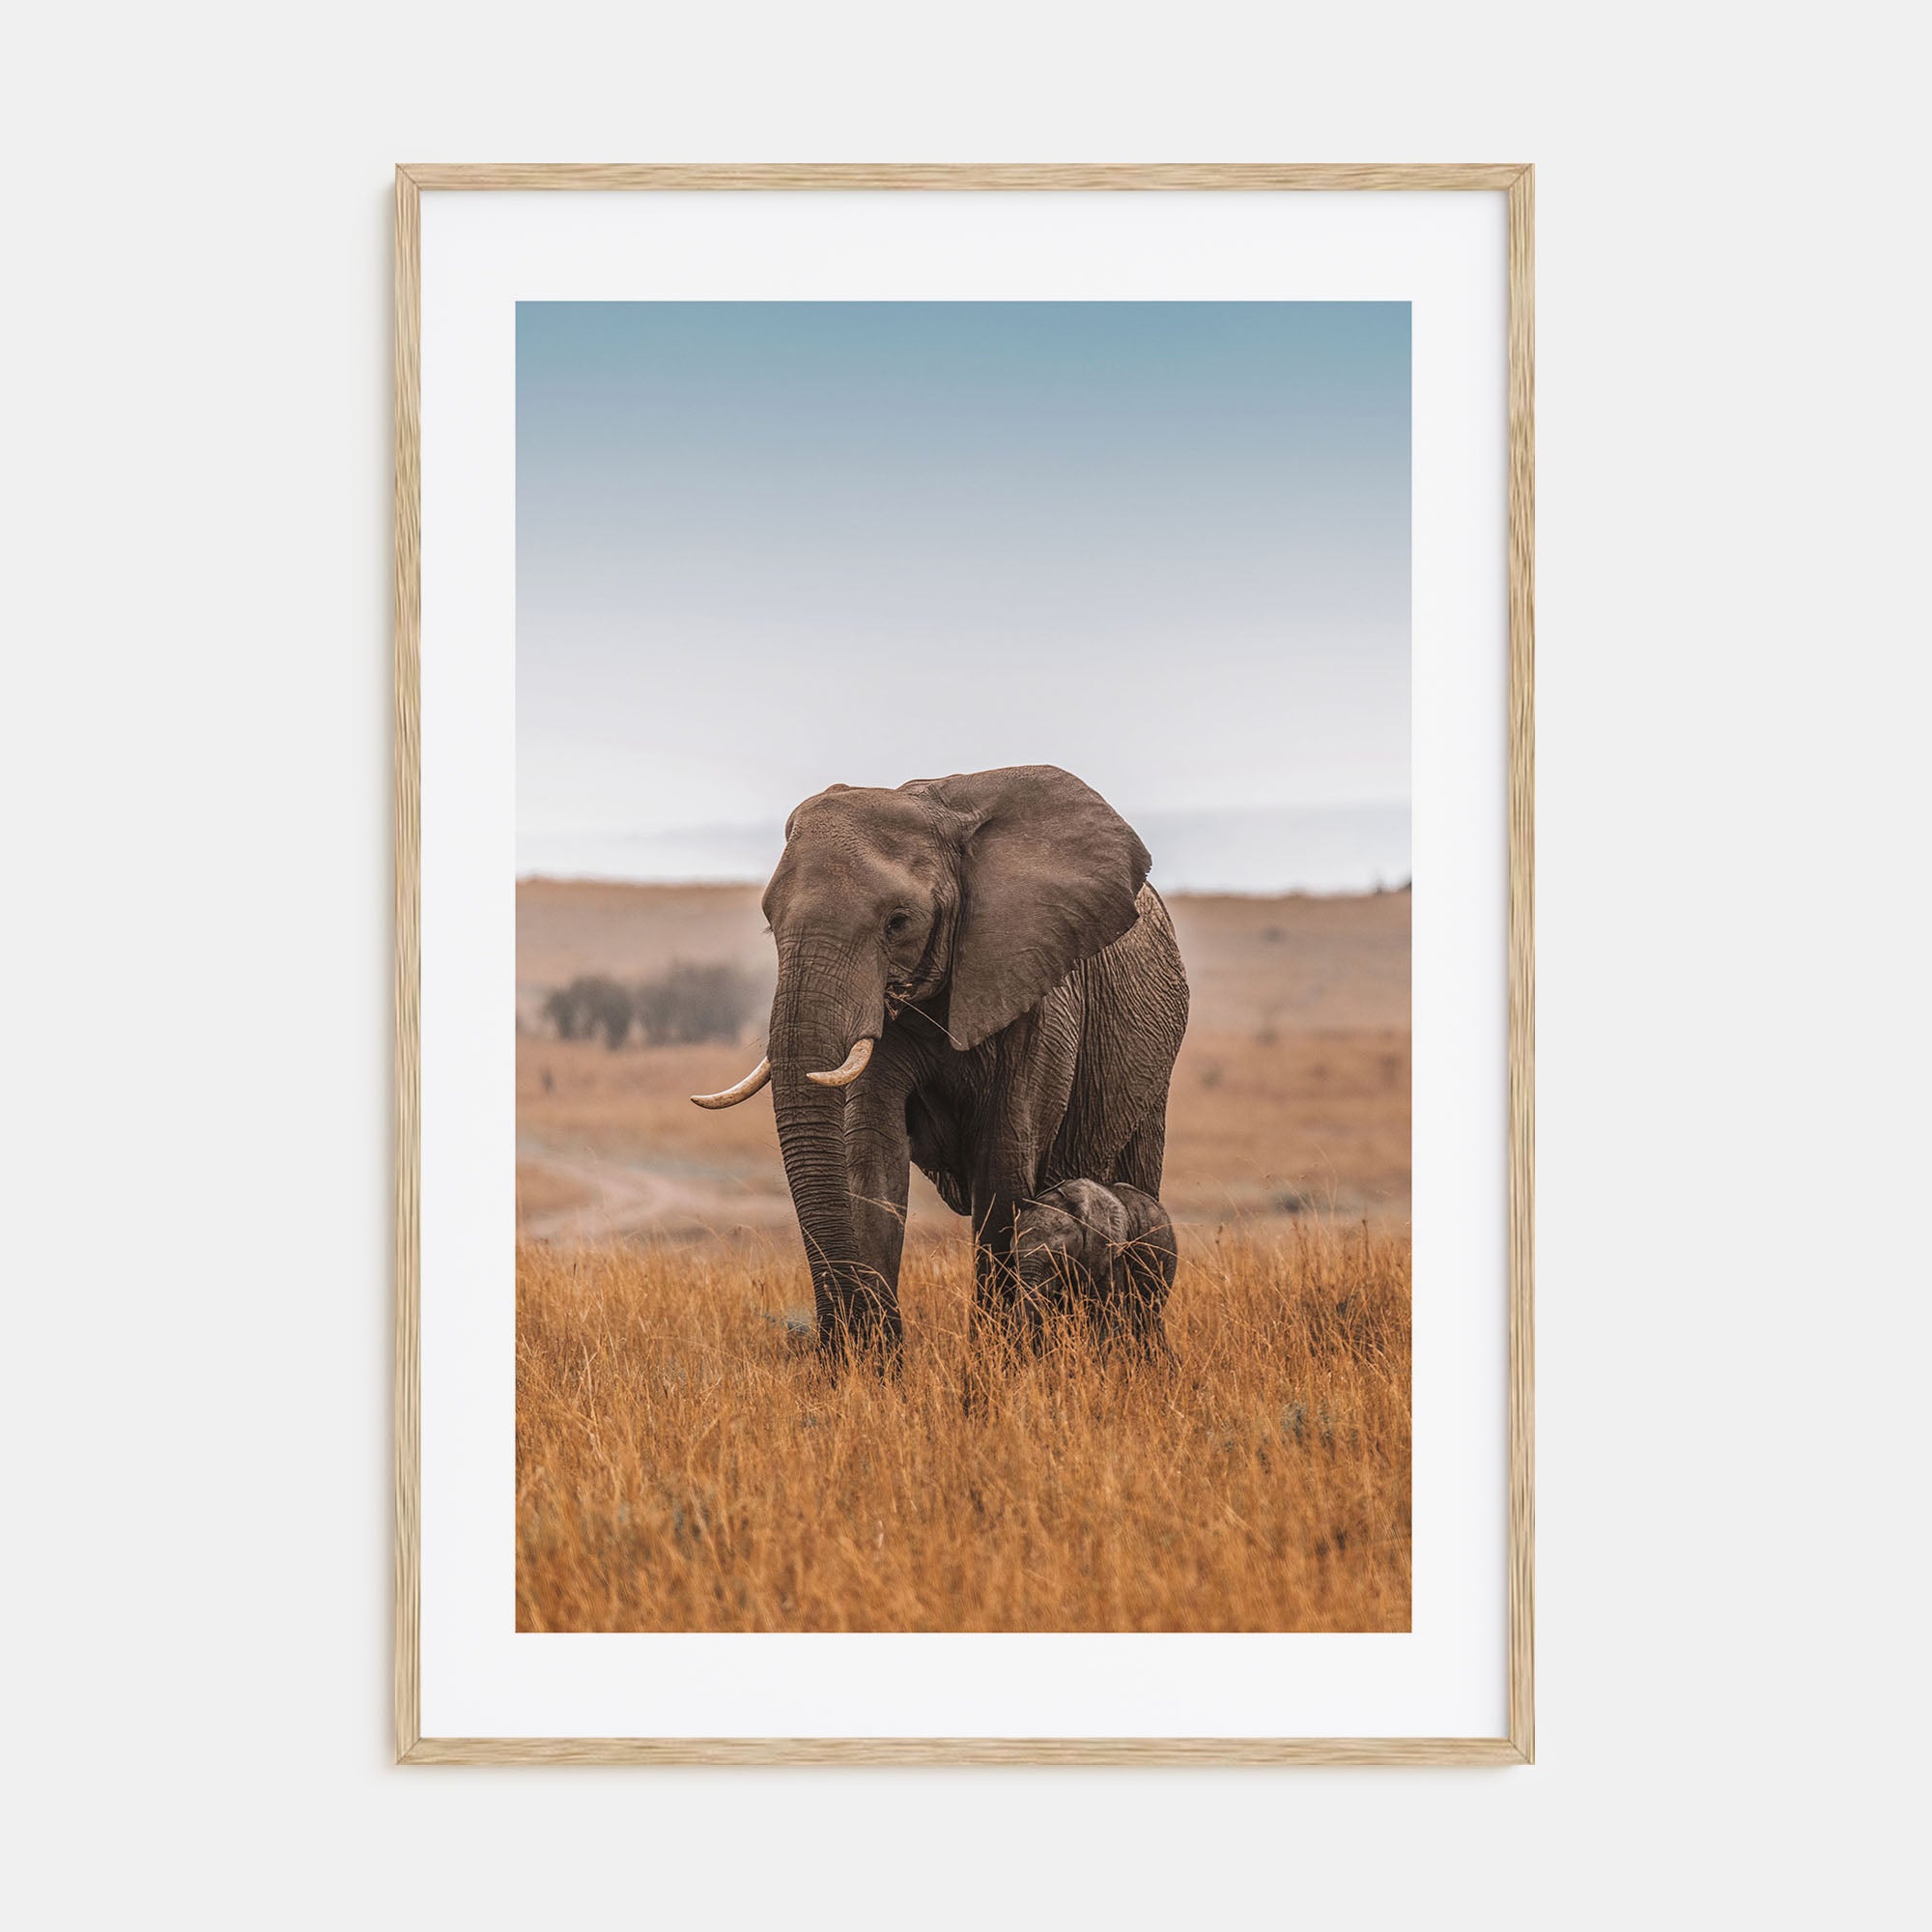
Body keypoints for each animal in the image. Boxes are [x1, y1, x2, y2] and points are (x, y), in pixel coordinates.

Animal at [1011, 1178, 1180, 1354]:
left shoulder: (1111, 1253)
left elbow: (1104, 1313)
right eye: (1013, 1255)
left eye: (1058, 1256)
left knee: (1147, 1315)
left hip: (1164, 1258)